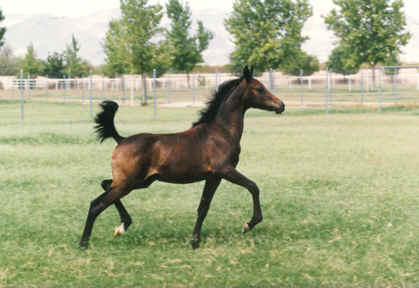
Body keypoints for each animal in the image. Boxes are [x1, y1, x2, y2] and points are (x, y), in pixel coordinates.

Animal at [79, 66, 286, 249]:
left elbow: (203, 207)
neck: (221, 132)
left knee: (105, 185)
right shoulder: (225, 170)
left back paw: (123, 225)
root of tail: (121, 139)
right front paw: (248, 224)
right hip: (129, 183)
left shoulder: (214, 177)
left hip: (139, 181)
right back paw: (85, 243)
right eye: (259, 88)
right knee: (96, 204)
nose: (281, 105)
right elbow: (253, 187)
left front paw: (194, 241)